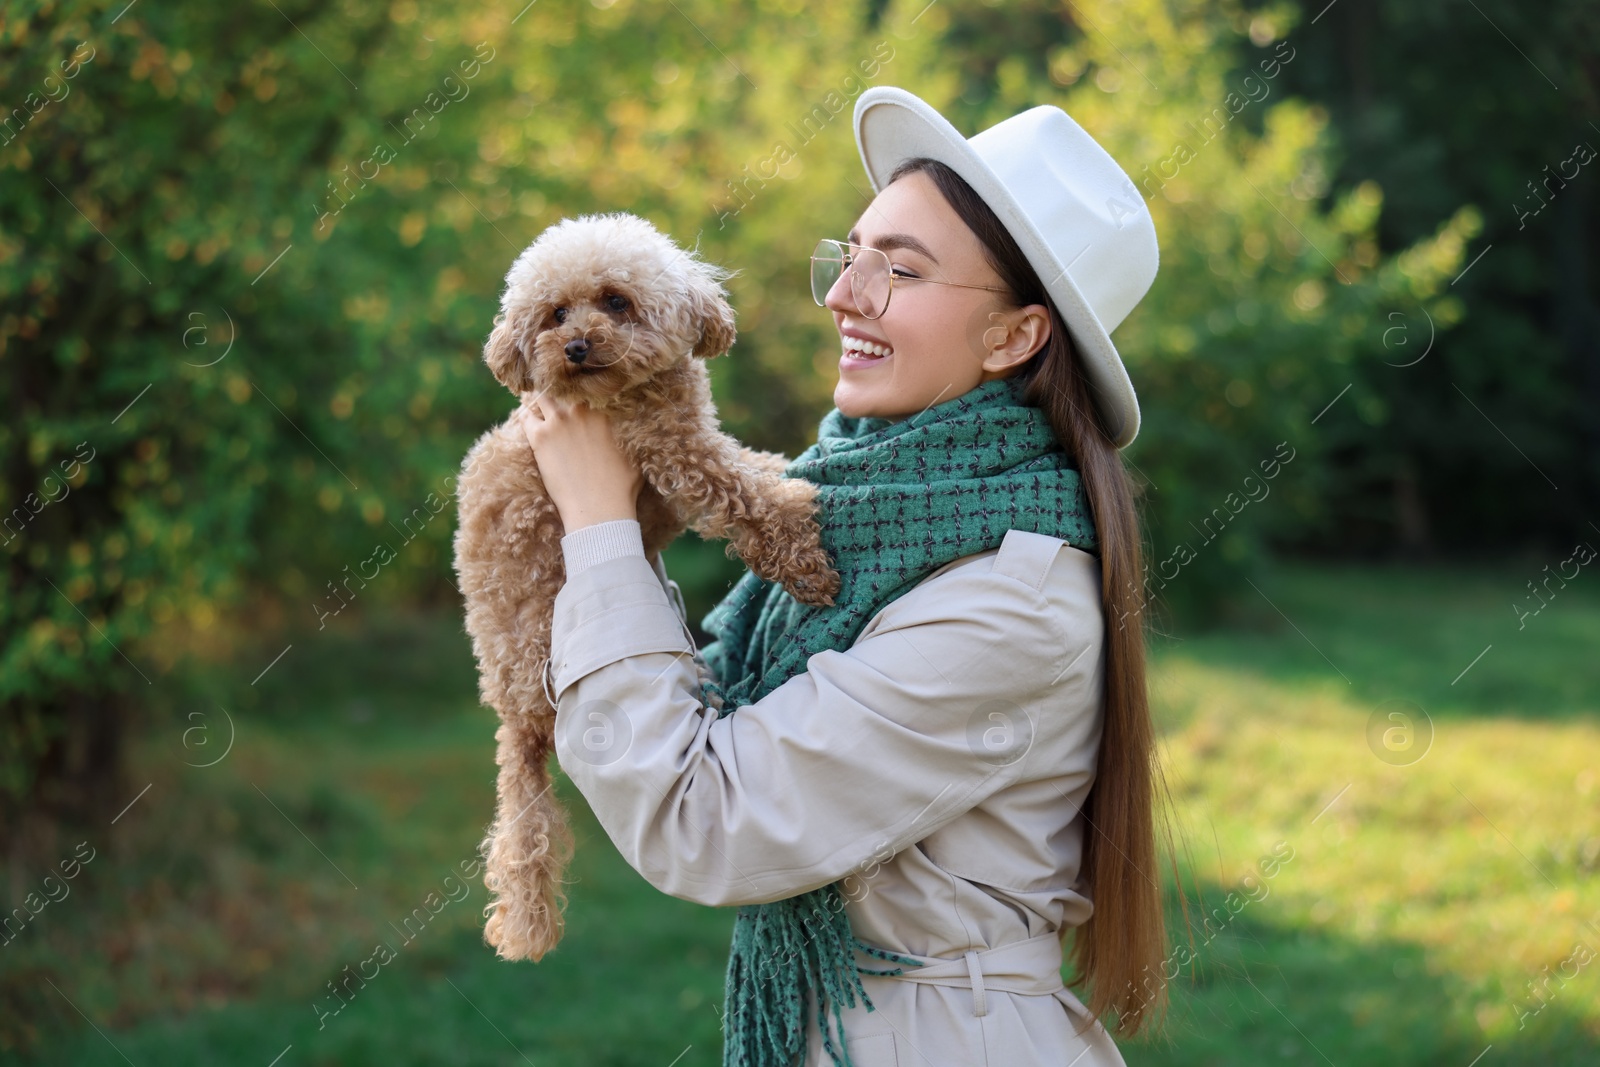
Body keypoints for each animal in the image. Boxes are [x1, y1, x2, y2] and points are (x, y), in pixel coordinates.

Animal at [451, 212, 844, 966]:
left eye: (615, 300)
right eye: (553, 313)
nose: (575, 346)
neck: (635, 393)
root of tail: (513, 719)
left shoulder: (688, 436)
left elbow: (751, 465)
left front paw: (789, 473)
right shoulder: (675, 455)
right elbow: (743, 496)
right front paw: (806, 555)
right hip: (546, 637)